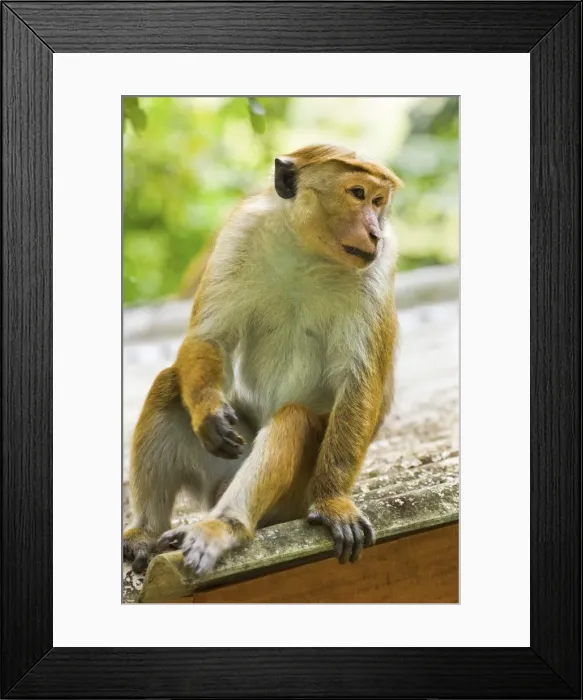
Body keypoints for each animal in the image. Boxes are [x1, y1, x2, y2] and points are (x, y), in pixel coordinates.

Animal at [123, 144, 403, 575]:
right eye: (357, 194)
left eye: (378, 201)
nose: (374, 232)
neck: (307, 252)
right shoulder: (240, 233)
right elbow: (211, 337)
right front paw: (208, 413)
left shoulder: (377, 272)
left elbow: (358, 382)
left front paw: (333, 502)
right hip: (222, 468)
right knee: (170, 382)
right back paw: (146, 532)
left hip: (290, 498)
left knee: (294, 420)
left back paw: (222, 528)